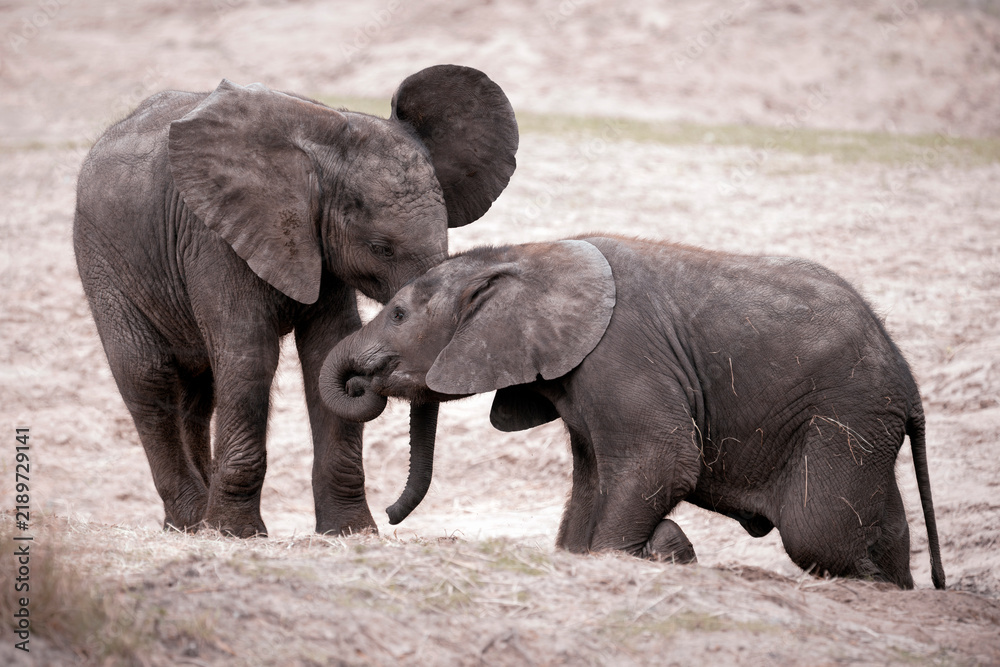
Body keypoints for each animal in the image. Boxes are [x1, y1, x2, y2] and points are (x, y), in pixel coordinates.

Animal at [73, 65, 518, 538]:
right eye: (381, 248)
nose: (391, 515)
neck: (324, 146)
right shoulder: (215, 237)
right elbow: (249, 356)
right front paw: (236, 534)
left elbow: (327, 350)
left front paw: (350, 533)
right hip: (103, 260)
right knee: (148, 376)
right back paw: (193, 524)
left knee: (200, 391)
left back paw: (189, 523)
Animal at [319, 235, 946, 589]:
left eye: (398, 314)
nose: (392, 516)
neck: (523, 256)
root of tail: (909, 382)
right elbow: (594, 480)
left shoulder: (619, 351)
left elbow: (661, 459)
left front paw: (627, 558)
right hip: (867, 425)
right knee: (883, 524)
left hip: (846, 413)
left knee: (816, 530)